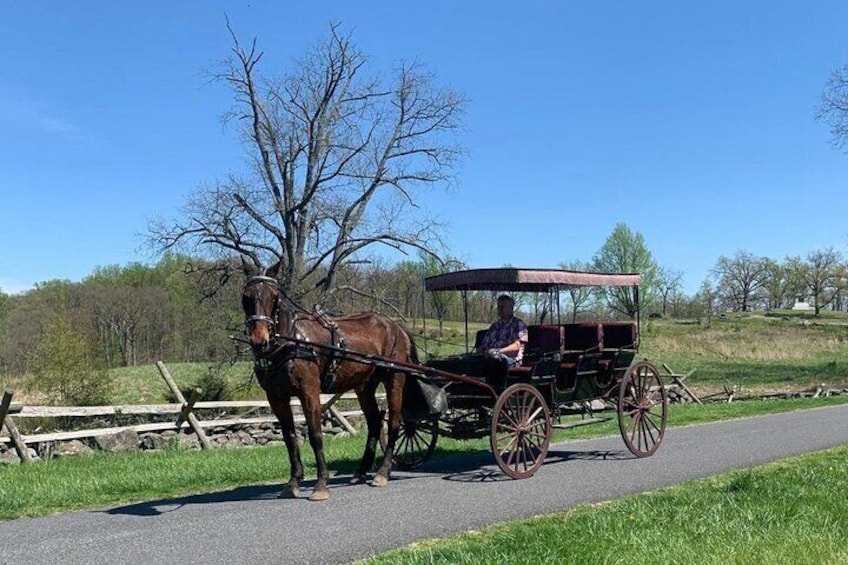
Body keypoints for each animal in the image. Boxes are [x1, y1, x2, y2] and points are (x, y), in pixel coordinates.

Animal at [240, 258, 416, 498]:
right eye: (246, 297)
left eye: (274, 296)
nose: (260, 341)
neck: (291, 341)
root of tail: (396, 326)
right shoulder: (276, 397)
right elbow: (289, 438)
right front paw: (293, 483)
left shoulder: (309, 390)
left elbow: (315, 433)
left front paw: (321, 483)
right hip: (365, 386)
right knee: (374, 422)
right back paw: (361, 471)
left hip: (394, 380)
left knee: (395, 423)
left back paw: (382, 472)